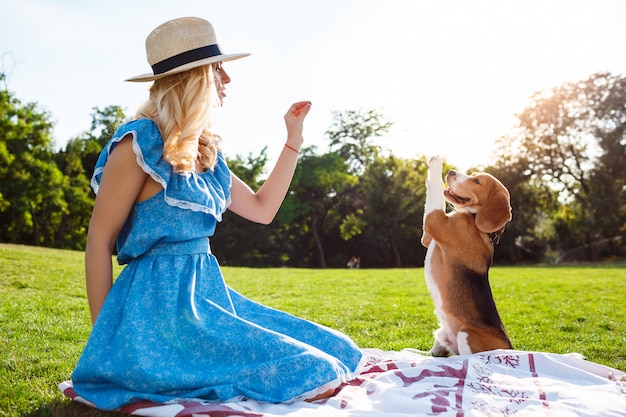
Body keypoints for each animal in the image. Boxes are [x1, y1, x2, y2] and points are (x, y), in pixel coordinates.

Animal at [420, 154, 512, 356]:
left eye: (476, 181)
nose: (451, 172)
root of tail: (512, 349)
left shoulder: (435, 220)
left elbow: (436, 189)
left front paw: (436, 163)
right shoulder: (428, 236)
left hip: (466, 334)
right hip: (442, 334)